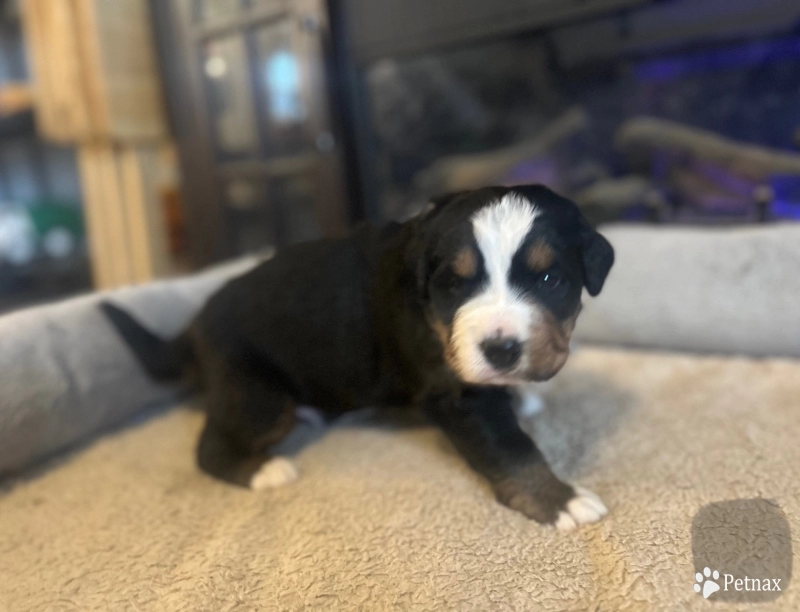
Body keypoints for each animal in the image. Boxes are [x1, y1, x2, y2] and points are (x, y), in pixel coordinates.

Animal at [103, 184, 616, 528]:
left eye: (550, 280)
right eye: (455, 284)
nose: (501, 349)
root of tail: (194, 323)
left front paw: (519, 398)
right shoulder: (456, 395)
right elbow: (511, 449)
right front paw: (558, 500)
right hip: (256, 394)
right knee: (211, 449)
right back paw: (265, 470)